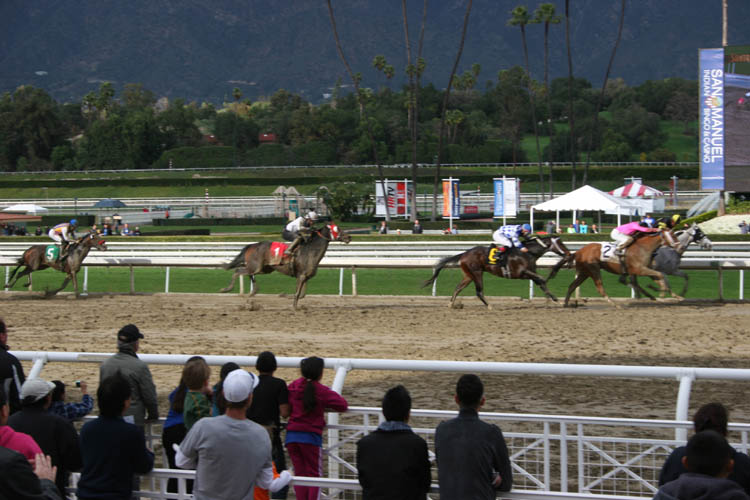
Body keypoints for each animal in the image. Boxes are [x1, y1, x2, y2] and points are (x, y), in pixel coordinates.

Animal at [220, 223, 352, 308]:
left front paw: (285, 296)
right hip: (256, 266)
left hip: (264, 269)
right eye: (337, 229)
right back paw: (226, 289)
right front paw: (293, 307)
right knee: (238, 271)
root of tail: (251, 245)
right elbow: (298, 294)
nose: (349, 237)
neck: (310, 251)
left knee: (247, 273)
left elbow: (302, 294)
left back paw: (253, 292)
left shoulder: (305, 277)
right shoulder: (301, 276)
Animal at [420, 235, 572, 308]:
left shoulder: (529, 272)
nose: (569, 254)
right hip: (477, 272)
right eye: (561, 244)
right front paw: (553, 299)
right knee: (479, 291)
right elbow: (541, 279)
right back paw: (490, 306)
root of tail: (464, 253)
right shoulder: (521, 272)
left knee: (458, 288)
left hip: (468, 275)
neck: (527, 253)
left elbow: (541, 282)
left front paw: (555, 300)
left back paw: (451, 304)